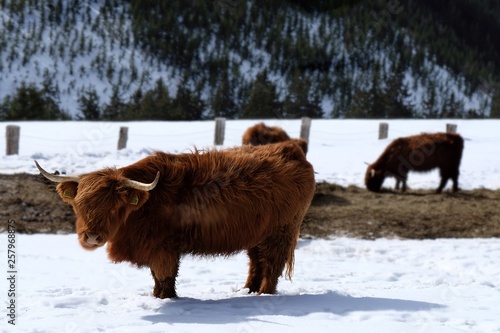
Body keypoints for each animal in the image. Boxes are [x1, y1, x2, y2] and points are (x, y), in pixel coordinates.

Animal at [36, 141, 316, 296]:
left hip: (280, 231)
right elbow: (155, 277)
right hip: (257, 233)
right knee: (256, 262)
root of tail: (291, 150)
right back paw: (247, 290)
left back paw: (263, 295)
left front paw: (164, 298)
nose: (92, 236)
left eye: (114, 208)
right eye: (79, 205)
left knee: (272, 265)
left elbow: (164, 277)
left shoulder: (164, 248)